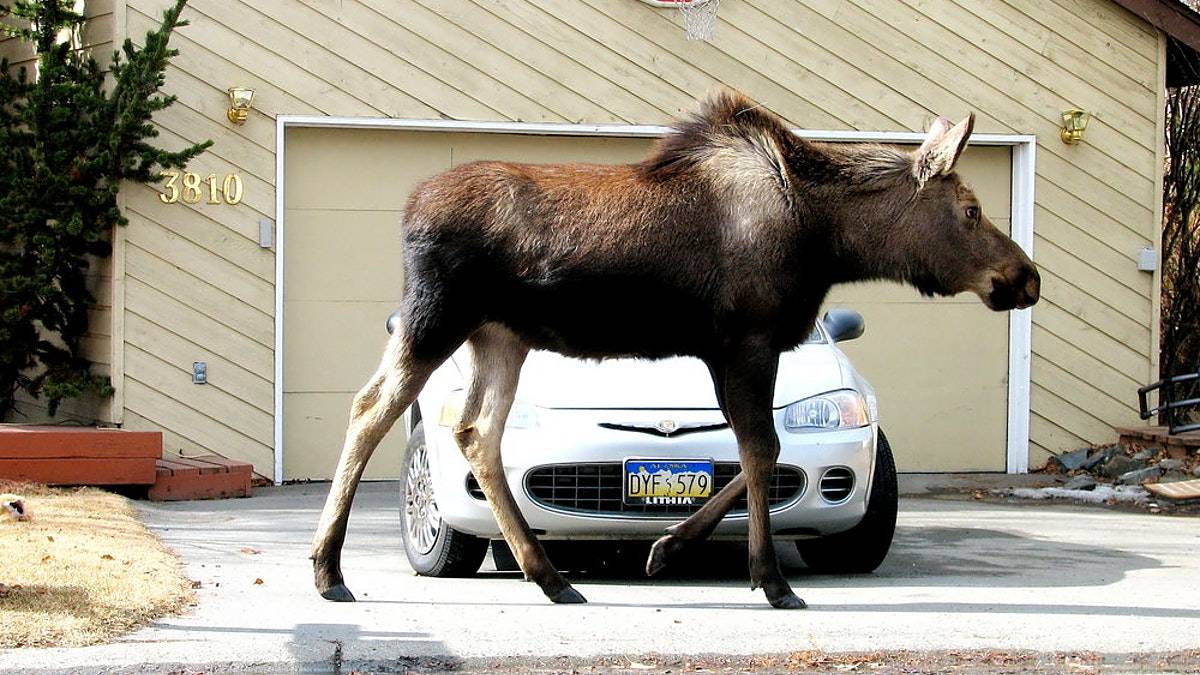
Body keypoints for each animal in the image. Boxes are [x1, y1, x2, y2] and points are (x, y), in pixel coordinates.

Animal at [312, 86, 1041, 607]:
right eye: (971, 210)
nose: (1026, 276)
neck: (828, 240)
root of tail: (410, 208)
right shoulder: (747, 339)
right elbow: (760, 449)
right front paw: (771, 579)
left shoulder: (731, 349)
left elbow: (755, 452)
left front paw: (666, 546)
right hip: (437, 318)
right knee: (371, 408)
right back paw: (327, 568)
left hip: (501, 337)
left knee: (476, 432)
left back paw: (549, 577)